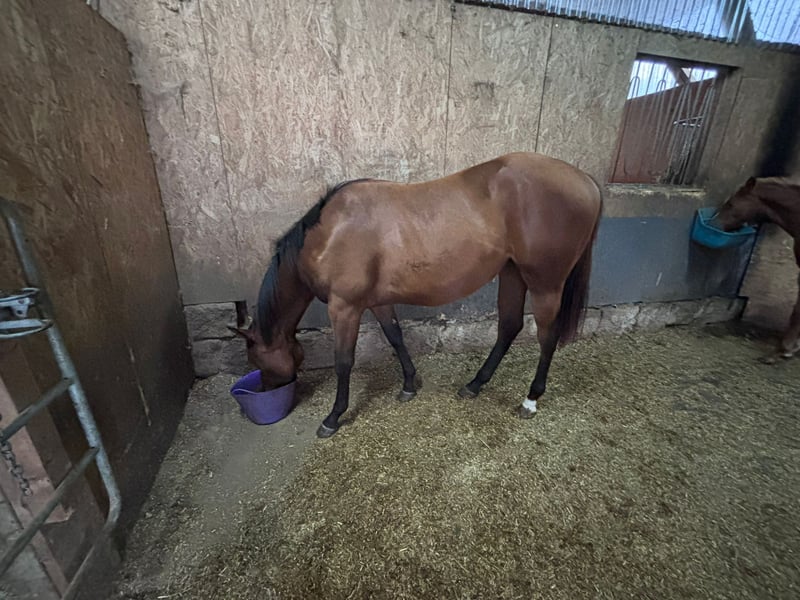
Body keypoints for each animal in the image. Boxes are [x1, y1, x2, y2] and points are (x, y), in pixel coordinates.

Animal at [230, 152, 603, 438]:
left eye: (256, 359)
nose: (265, 389)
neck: (329, 234)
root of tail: (586, 181)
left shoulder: (345, 307)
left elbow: (343, 361)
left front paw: (334, 416)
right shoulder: (377, 302)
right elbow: (396, 338)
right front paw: (409, 384)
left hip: (545, 283)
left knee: (547, 336)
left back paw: (531, 399)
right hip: (512, 274)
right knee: (509, 326)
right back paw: (475, 384)